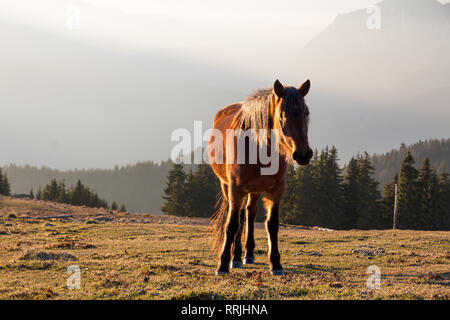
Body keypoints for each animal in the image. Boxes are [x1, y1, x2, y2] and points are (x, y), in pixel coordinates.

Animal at [208, 78, 312, 276]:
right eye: (282, 115)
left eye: (306, 113)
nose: (303, 154)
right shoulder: (235, 189)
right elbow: (231, 224)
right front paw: (223, 264)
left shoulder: (276, 189)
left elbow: (272, 224)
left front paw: (276, 264)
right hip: (228, 187)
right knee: (240, 217)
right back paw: (236, 257)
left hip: (255, 190)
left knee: (249, 213)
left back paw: (248, 255)